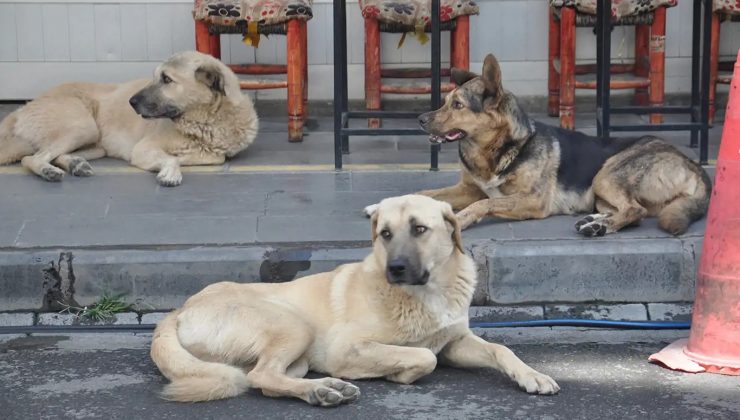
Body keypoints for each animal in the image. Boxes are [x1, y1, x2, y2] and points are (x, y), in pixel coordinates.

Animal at [0, 50, 260, 185]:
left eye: (166, 79)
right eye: (156, 77)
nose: (131, 102)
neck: (207, 120)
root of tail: (20, 110)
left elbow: (215, 157)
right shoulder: (142, 149)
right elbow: (173, 158)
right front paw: (171, 170)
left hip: (95, 145)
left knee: (53, 155)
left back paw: (76, 164)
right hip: (82, 126)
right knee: (31, 158)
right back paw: (48, 171)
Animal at [150, 195, 556, 406]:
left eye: (419, 229)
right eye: (385, 234)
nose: (395, 268)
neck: (426, 293)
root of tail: (178, 311)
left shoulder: (455, 342)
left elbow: (501, 348)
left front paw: (532, 375)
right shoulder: (345, 348)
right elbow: (422, 356)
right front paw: (399, 373)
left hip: (297, 355)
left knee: (265, 380)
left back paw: (324, 388)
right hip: (293, 325)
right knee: (259, 376)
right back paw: (323, 390)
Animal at [364, 54, 712, 236]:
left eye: (458, 105)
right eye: (446, 102)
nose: (420, 119)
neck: (498, 150)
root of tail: (695, 167)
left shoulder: (530, 201)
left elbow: (483, 204)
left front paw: (459, 221)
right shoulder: (468, 189)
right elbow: (423, 193)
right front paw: (381, 206)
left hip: (607, 173)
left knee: (635, 210)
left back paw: (600, 227)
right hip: (602, 194)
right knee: (633, 213)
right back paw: (596, 223)